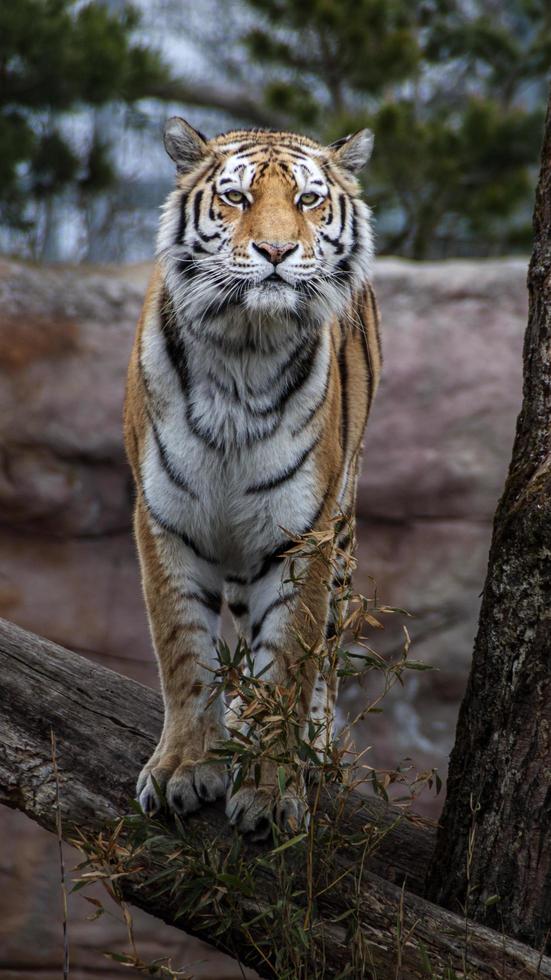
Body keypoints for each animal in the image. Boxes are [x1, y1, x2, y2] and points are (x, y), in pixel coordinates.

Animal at [125, 115, 382, 836]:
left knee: (326, 654)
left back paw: (314, 746)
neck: (244, 344)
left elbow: (290, 657)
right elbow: (181, 648)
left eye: (308, 200)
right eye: (235, 198)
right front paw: (185, 768)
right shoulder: (166, 518)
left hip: (341, 526)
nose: (274, 250)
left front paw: (271, 787)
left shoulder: (301, 532)